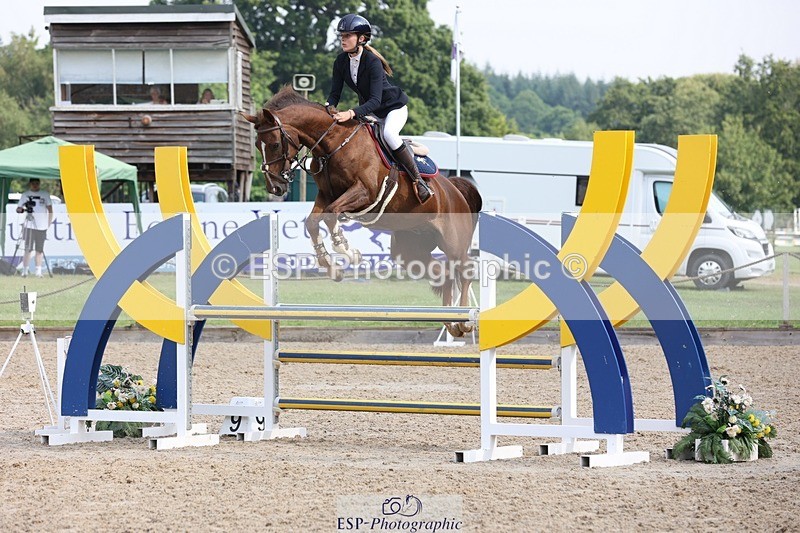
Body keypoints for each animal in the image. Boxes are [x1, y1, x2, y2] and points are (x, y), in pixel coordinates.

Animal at [242, 87, 482, 336]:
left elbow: (331, 214)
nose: (275, 187)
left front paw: (348, 251)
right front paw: (332, 268)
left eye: (274, 144)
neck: (334, 143)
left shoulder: (364, 192)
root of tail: (456, 189)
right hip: (409, 248)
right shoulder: (326, 195)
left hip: (453, 241)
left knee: (465, 269)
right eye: (258, 144)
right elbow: (313, 222)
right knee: (443, 272)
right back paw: (451, 322)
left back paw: (465, 322)